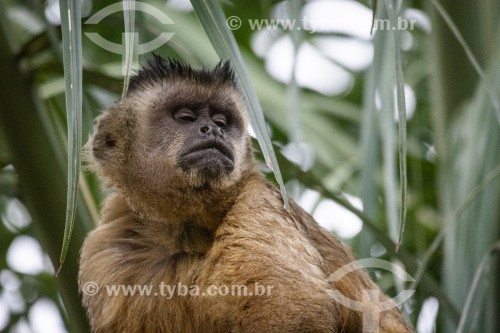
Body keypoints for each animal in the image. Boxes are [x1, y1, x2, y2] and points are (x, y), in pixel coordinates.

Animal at [78, 55, 412, 330]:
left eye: (221, 121)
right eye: (185, 117)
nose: (213, 130)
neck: (185, 229)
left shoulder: (258, 201)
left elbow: (297, 316)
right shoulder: (106, 248)